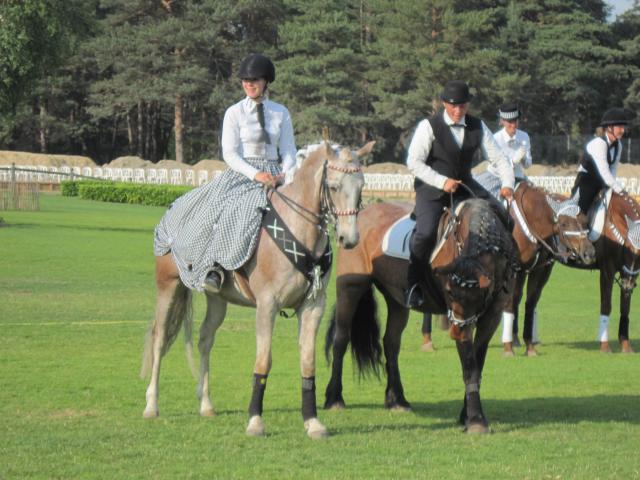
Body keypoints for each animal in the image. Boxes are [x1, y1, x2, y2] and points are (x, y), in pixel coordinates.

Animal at [140, 140, 370, 438]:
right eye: (333, 186)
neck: (298, 230)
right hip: (168, 286)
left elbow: (308, 361)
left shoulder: (313, 306)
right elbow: (264, 361)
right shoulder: (267, 305)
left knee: (205, 340)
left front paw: (312, 421)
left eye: (361, 185)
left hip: (218, 300)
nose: (348, 239)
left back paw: (206, 404)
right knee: (159, 339)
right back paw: (151, 405)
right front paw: (255, 421)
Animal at [324, 197, 516, 434]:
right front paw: (476, 420)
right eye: (450, 292)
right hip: (350, 287)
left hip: (397, 300)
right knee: (341, 339)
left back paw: (396, 399)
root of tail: (362, 213)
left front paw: (467, 414)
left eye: (480, 295)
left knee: (391, 343)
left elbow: (477, 366)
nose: (455, 332)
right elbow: (470, 367)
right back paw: (334, 398)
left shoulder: (491, 317)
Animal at [500, 182, 596, 354]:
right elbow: (509, 303)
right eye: (564, 223)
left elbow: (530, 303)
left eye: (585, 221)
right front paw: (508, 348)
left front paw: (529, 346)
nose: (589, 253)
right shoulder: (512, 271)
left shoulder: (538, 271)